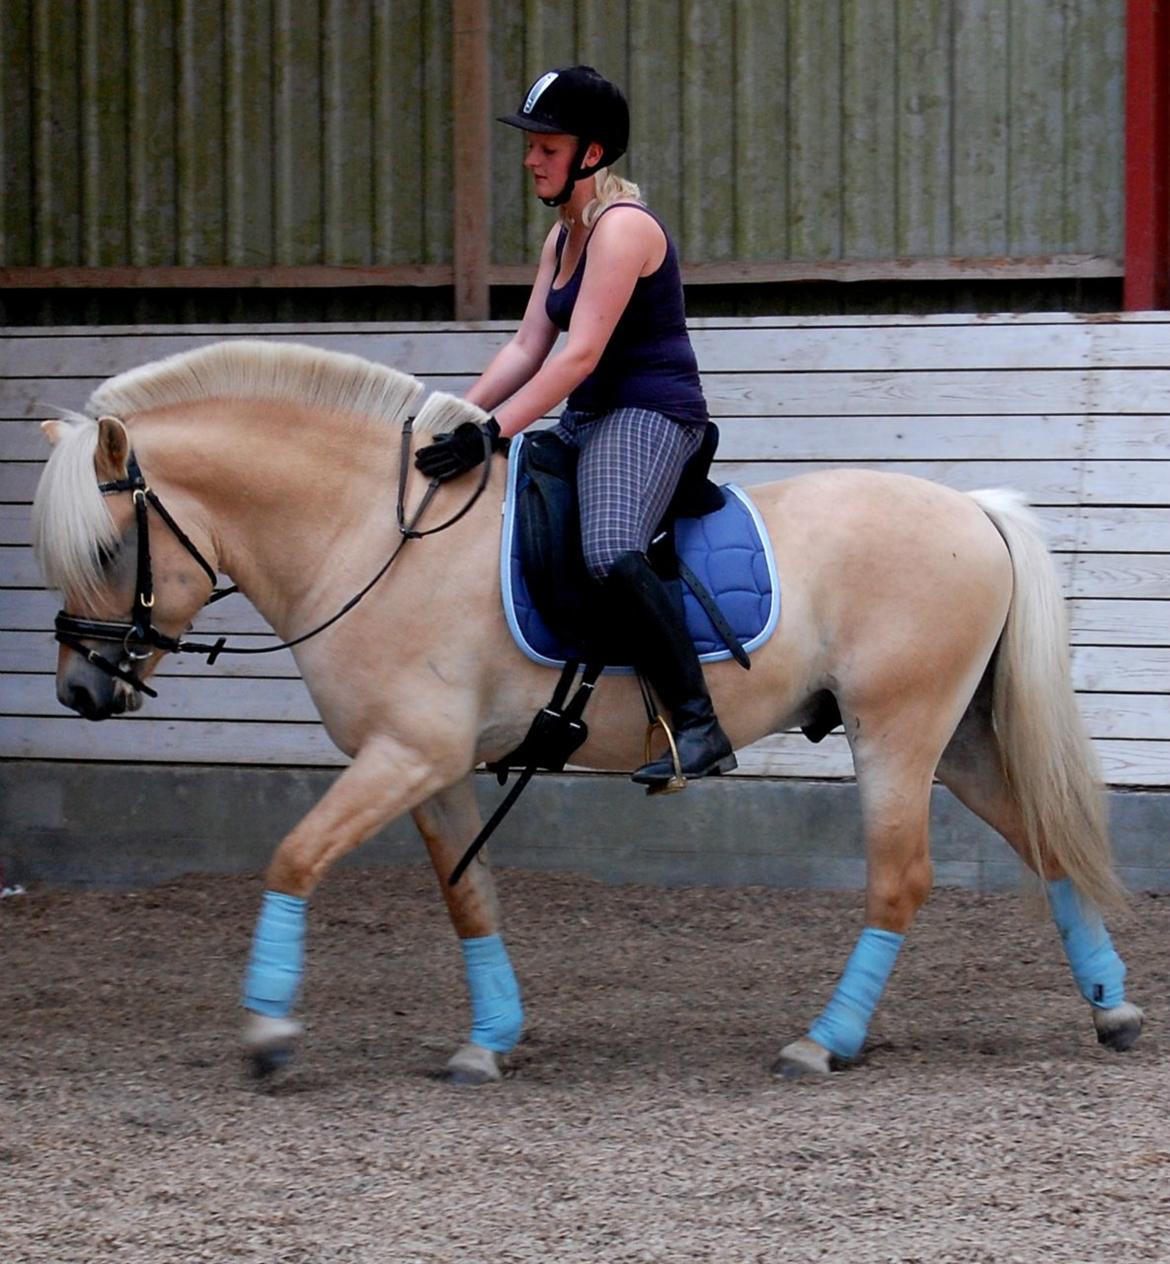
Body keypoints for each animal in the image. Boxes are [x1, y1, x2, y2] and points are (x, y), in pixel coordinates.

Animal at [29, 341, 1147, 1081]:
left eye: (106, 548)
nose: (80, 692)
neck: (368, 536)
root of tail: (975, 510)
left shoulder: (407, 752)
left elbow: (294, 857)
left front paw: (267, 1034)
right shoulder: (426, 765)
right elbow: (468, 900)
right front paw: (489, 1040)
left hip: (899, 732)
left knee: (901, 880)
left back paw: (824, 1039)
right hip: (960, 740)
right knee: (1048, 848)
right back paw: (1112, 1009)